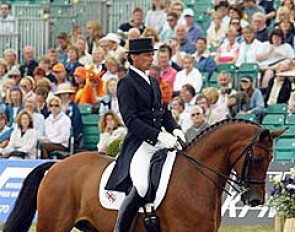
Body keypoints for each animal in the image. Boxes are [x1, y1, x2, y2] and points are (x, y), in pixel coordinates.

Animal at [3, 119, 286, 232]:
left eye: (271, 159)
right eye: (257, 158)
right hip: (53, 223)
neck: (194, 179)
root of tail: (56, 166)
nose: (255, 200)